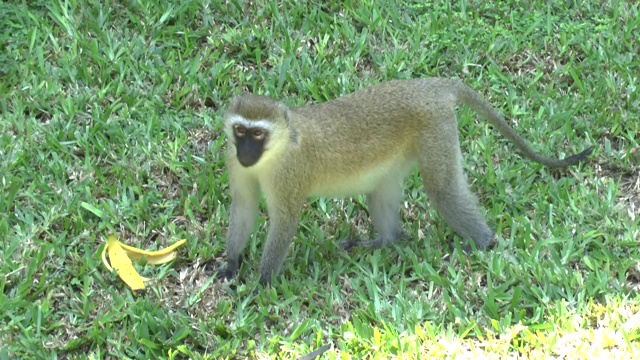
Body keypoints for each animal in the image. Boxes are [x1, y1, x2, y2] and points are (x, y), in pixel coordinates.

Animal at [218, 78, 592, 284]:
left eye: (258, 133)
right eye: (240, 131)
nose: (246, 152)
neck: (275, 151)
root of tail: (426, 86)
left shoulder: (289, 174)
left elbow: (284, 221)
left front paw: (263, 282)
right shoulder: (234, 162)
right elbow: (245, 207)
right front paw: (232, 264)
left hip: (435, 128)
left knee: (442, 188)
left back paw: (483, 242)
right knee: (381, 191)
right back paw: (385, 241)